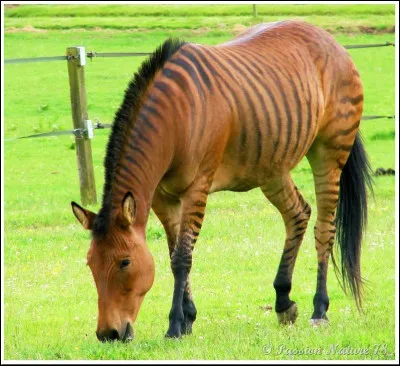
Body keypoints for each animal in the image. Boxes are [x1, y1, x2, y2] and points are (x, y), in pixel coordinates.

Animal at [71, 20, 372, 340]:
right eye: (90, 263)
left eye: (124, 262)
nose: (108, 334)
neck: (176, 118)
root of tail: (330, 39)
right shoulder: (162, 197)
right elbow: (173, 253)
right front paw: (188, 318)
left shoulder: (197, 188)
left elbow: (182, 257)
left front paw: (175, 324)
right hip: (271, 164)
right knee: (298, 214)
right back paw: (283, 302)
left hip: (329, 152)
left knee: (325, 229)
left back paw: (319, 309)